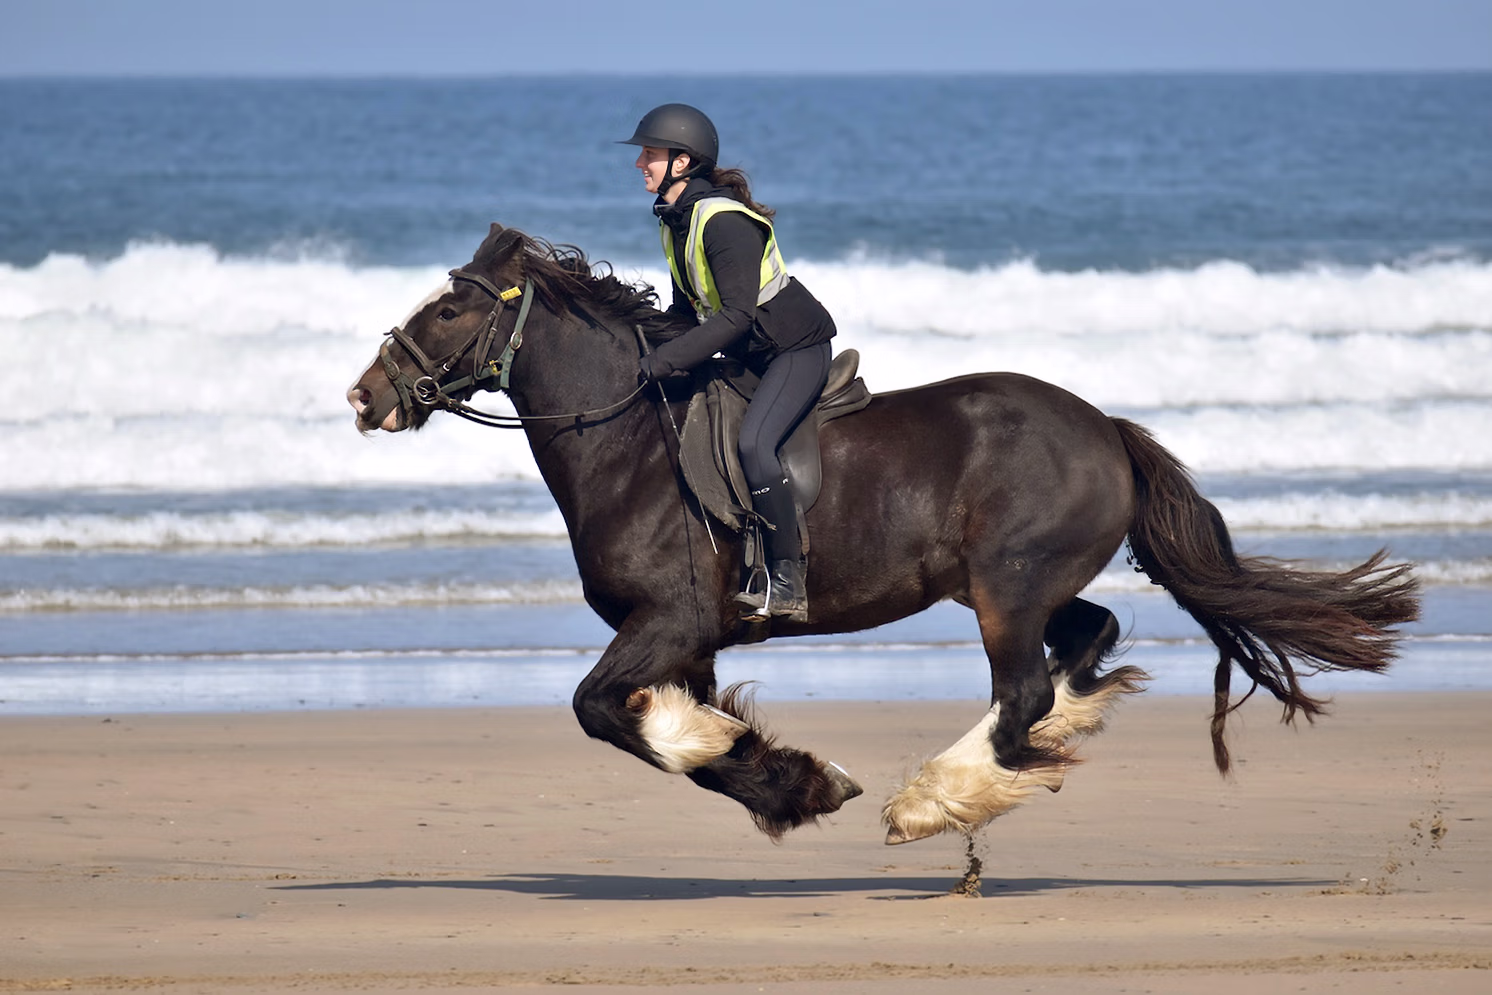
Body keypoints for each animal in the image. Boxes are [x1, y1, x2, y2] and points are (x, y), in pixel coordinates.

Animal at [347, 223, 1421, 846]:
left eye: (450, 306)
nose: (365, 397)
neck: (630, 444)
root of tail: (1104, 427)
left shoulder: (667, 622)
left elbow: (601, 711)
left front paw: (772, 767)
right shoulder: (685, 641)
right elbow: (679, 732)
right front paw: (795, 781)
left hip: (1006, 587)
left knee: (1024, 689)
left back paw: (937, 796)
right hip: (1018, 582)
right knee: (1088, 638)